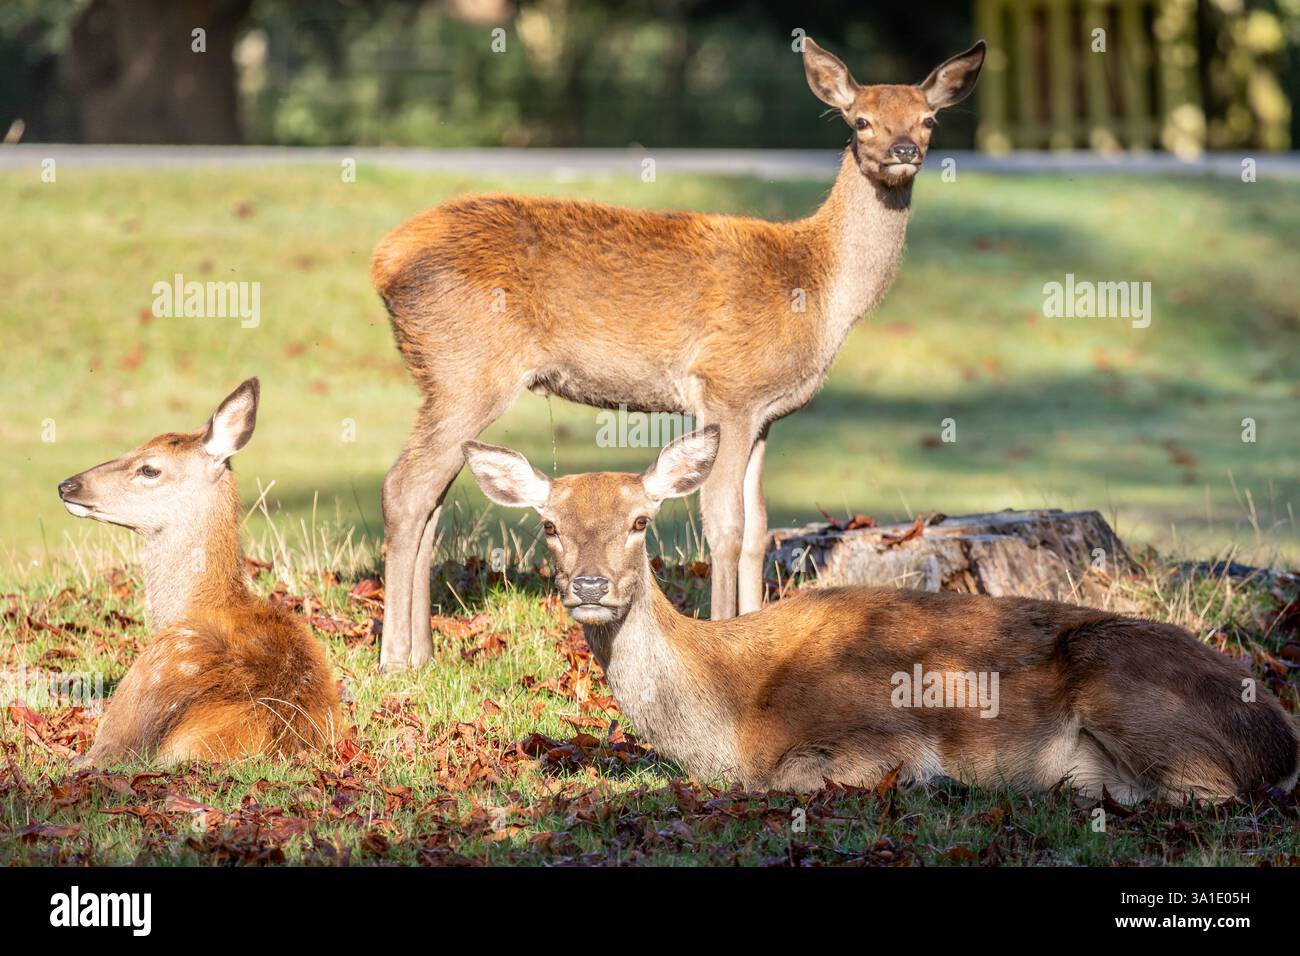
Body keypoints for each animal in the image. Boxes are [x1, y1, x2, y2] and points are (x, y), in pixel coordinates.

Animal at [369, 37, 987, 671]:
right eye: (860, 120)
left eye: (929, 119)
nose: (904, 150)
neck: (817, 292)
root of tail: (383, 261)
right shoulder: (728, 388)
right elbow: (726, 523)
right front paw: (724, 628)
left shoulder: (764, 414)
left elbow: (759, 529)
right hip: (468, 368)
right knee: (406, 487)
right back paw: (394, 657)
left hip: (446, 376)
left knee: (431, 495)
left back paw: (423, 652)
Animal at [462, 427, 1300, 801]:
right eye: (549, 525)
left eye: (641, 520)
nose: (590, 585)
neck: (725, 716)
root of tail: (1282, 741)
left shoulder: (882, 737)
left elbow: (788, 780)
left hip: (1122, 681)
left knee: (1205, 789)